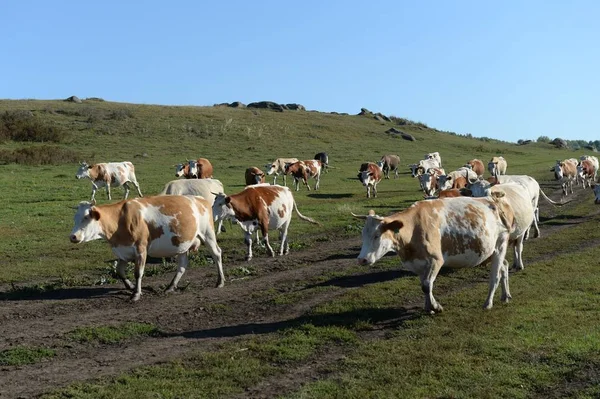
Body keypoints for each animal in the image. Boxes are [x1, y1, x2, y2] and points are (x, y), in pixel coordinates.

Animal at [69, 195, 225, 302]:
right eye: (74, 218)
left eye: (86, 217)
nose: (73, 236)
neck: (120, 219)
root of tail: (200, 199)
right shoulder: (124, 250)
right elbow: (119, 270)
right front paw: (130, 286)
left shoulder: (141, 249)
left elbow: (138, 272)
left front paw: (136, 294)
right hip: (182, 244)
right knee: (182, 266)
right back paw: (171, 286)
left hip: (208, 234)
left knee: (216, 254)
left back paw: (220, 281)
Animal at [352, 195, 516, 314]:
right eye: (363, 234)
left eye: (377, 235)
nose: (361, 259)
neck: (413, 227)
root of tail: (496, 200)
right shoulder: (418, 263)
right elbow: (424, 285)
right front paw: (428, 307)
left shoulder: (436, 260)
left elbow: (427, 285)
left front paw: (436, 307)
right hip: (491, 251)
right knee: (504, 266)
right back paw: (505, 295)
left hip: (501, 244)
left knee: (495, 275)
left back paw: (488, 303)